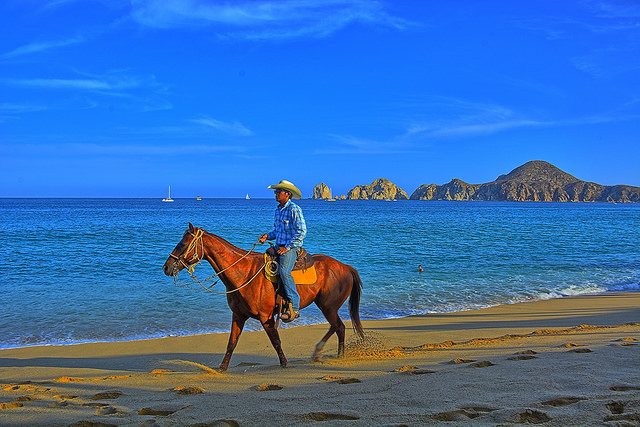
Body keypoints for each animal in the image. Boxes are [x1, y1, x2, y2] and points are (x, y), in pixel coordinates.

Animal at [162, 224, 364, 372]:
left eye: (182, 244)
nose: (166, 267)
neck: (244, 274)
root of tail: (346, 267)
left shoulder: (265, 316)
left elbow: (275, 340)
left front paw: (284, 363)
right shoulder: (238, 316)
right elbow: (231, 343)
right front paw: (222, 367)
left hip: (328, 306)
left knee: (339, 327)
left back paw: (335, 354)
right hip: (326, 305)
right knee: (336, 327)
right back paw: (319, 352)